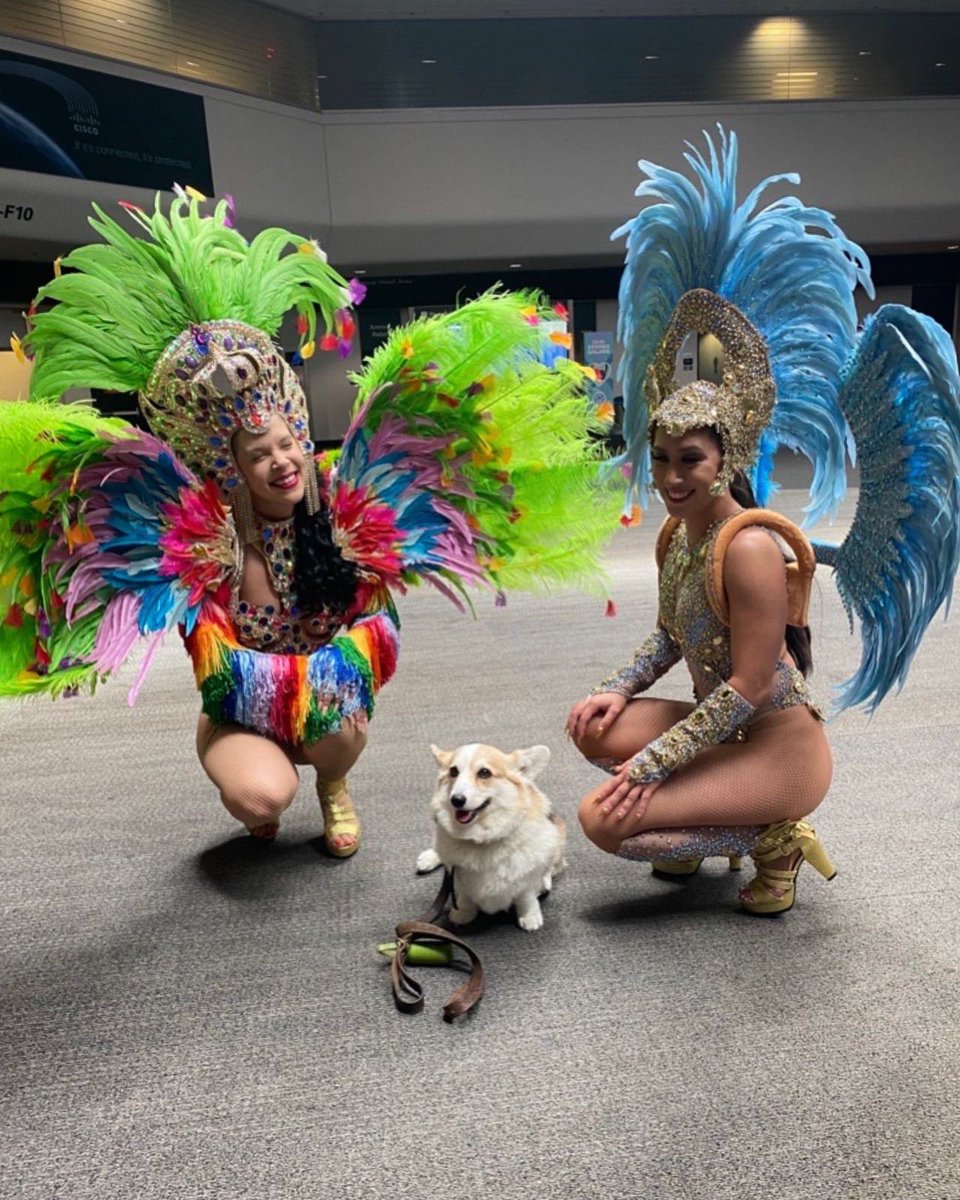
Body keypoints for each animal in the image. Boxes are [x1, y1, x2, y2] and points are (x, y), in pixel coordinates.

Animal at [415, 744, 566, 931]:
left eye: (484, 773)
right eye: (453, 771)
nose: (456, 800)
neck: (481, 838)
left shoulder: (526, 881)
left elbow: (526, 896)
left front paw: (529, 916)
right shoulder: (459, 874)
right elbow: (465, 896)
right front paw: (463, 912)